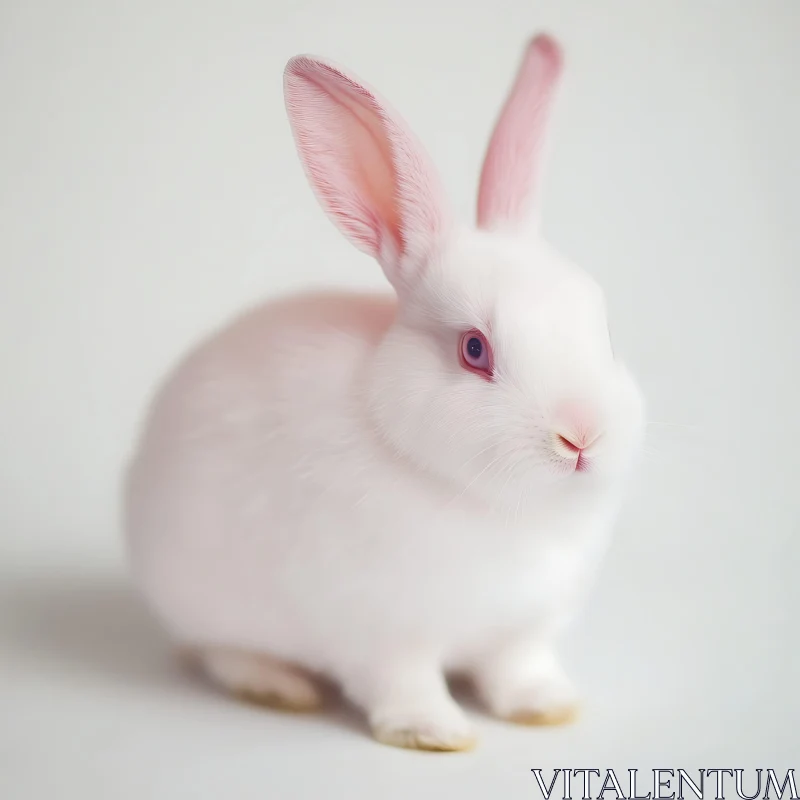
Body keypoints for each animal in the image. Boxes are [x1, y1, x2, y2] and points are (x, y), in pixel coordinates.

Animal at [126, 32, 648, 752]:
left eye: (605, 331)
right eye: (475, 350)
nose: (581, 435)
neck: (500, 509)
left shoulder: (523, 631)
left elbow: (518, 670)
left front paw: (549, 707)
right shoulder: (384, 634)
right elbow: (406, 686)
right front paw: (436, 734)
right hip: (203, 595)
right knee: (221, 652)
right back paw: (277, 687)